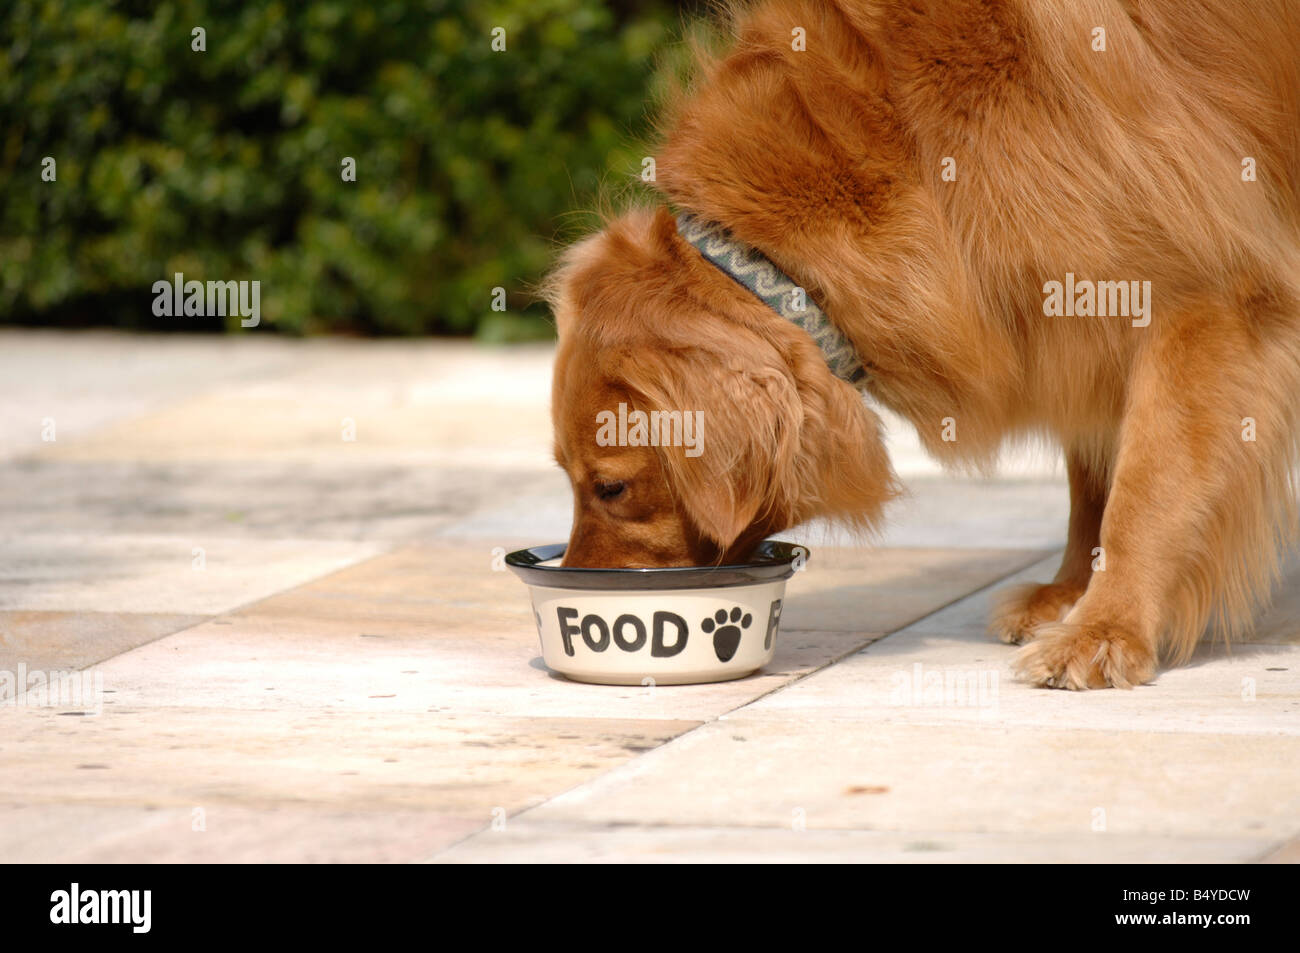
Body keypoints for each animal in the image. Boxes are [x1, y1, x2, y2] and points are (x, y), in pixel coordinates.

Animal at [540, 0, 1300, 686]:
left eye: (610, 487)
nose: (577, 582)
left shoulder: (1206, 293)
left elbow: (1146, 486)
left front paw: (1105, 628)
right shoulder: (1077, 313)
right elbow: (1092, 474)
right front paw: (1067, 593)